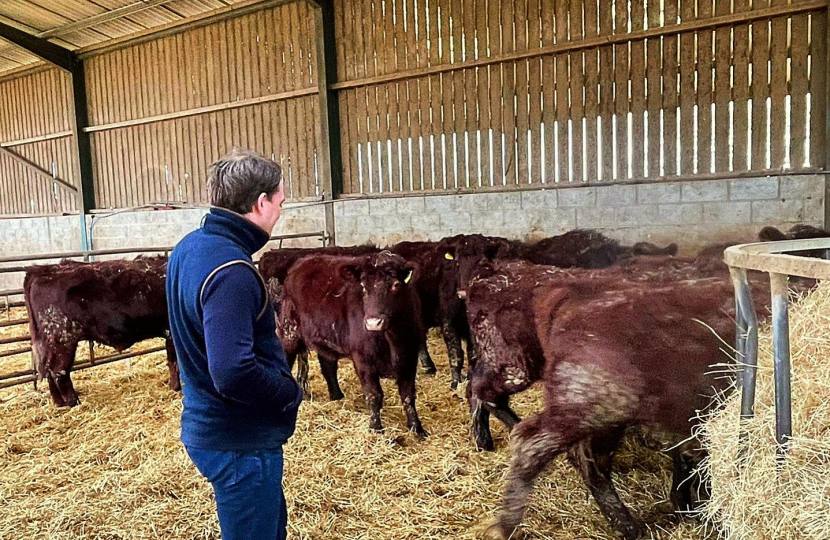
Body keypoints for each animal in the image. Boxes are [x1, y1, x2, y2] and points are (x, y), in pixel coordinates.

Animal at [24, 256, 179, 404]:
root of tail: (41, 270)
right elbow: (174, 362)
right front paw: (176, 387)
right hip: (62, 339)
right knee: (58, 371)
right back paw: (73, 402)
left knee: (49, 371)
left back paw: (59, 403)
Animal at [280, 252, 426, 434]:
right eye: (363, 287)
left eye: (396, 285)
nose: (373, 323)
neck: (393, 340)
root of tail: (303, 261)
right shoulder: (363, 360)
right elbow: (374, 395)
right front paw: (375, 428)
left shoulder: (410, 357)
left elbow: (408, 396)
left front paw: (417, 428)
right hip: (289, 332)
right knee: (287, 357)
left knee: (327, 365)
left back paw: (336, 396)